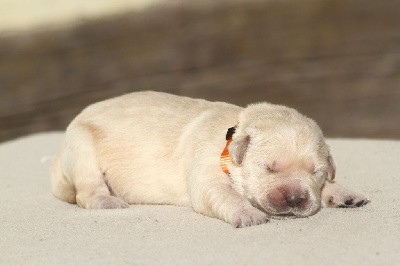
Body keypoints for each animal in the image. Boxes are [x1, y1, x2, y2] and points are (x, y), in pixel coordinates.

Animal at [51, 91, 370, 227]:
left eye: (316, 172)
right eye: (269, 168)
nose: (294, 200)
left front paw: (342, 193)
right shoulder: (206, 173)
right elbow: (223, 195)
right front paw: (248, 214)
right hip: (80, 147)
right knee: (86, 192)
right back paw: (108, 200)